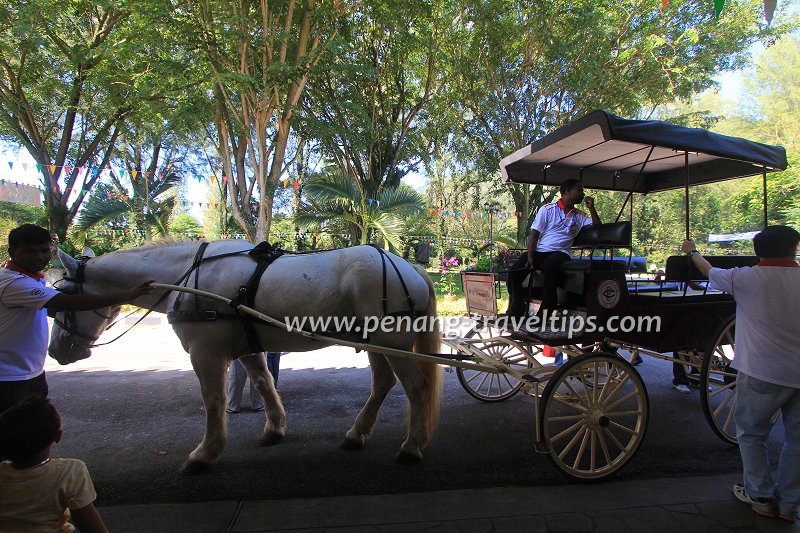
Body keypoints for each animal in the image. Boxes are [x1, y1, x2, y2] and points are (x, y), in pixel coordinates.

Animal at [48, 239, 444, 472]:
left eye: (62, 296)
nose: (55, 351)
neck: (186, 277)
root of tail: (411, 268)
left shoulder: (206, 353)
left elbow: (213, 401)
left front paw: (206, 452)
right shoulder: (246, 348)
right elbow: (264, 383)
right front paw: (274, 428)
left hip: (392, 343)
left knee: (416, 387)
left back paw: (412, 446)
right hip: (378, 343)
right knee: (383, 384)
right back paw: (356, 434)